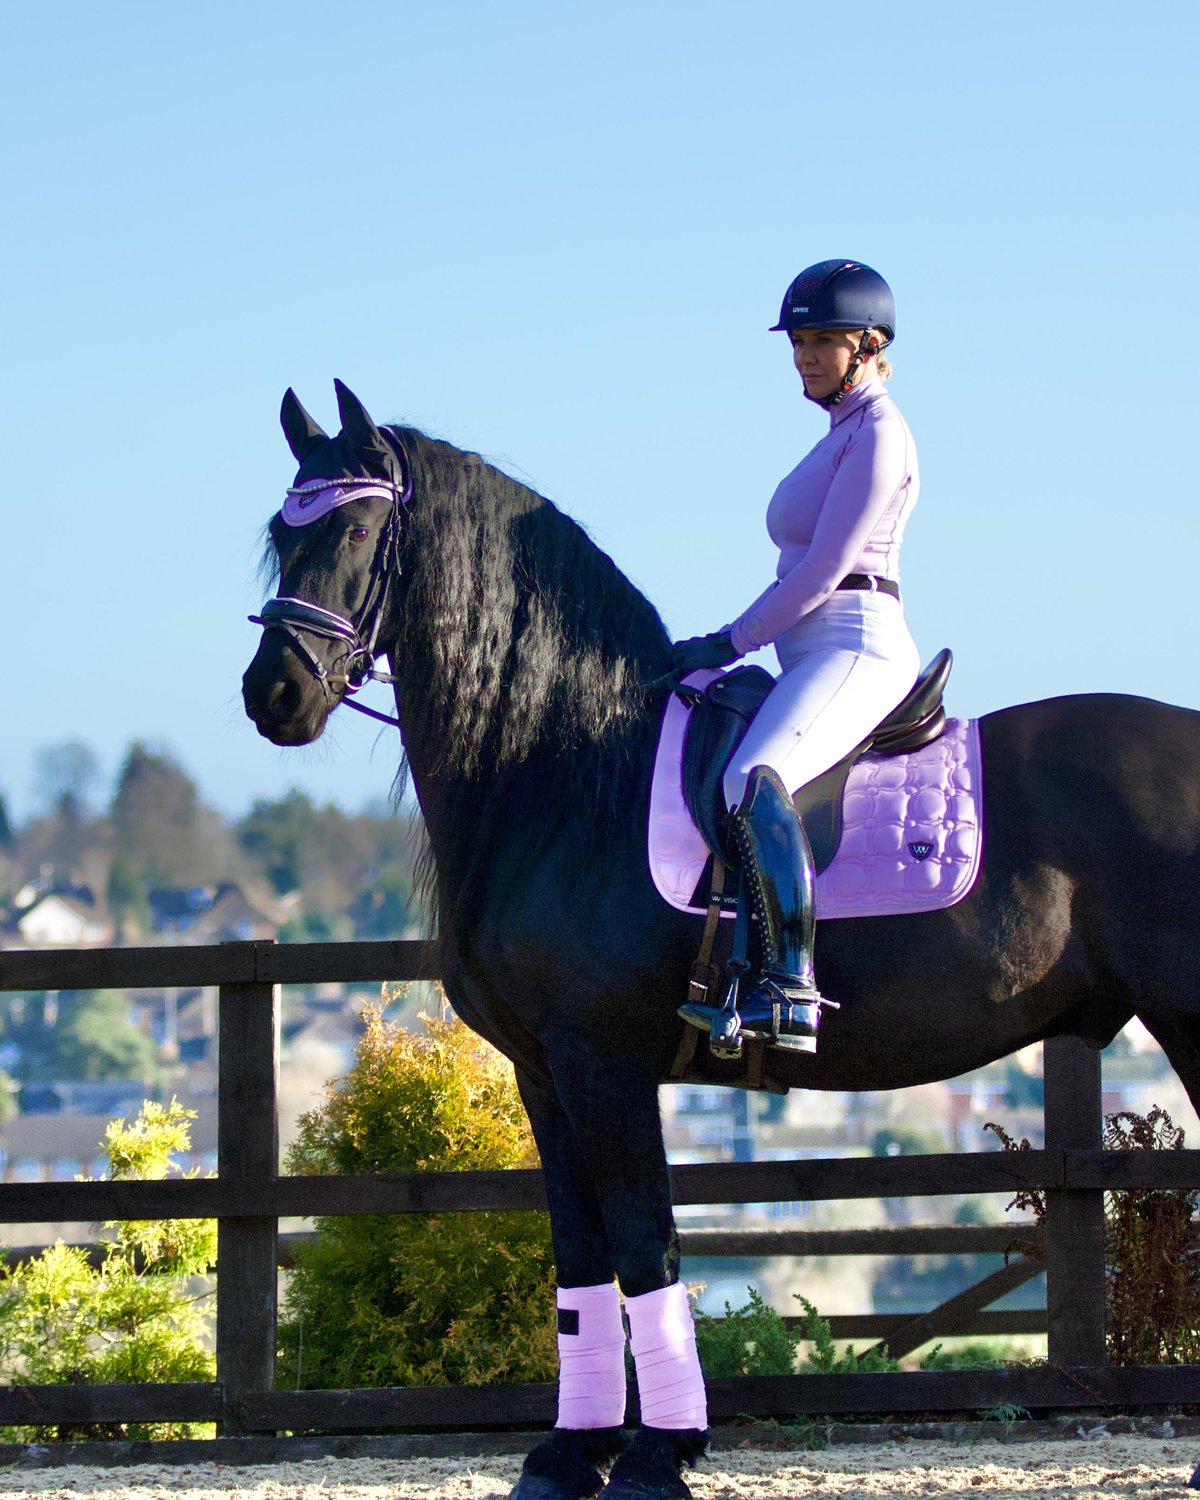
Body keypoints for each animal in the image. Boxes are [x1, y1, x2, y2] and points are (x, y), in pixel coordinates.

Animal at [242, 381, 1200, 1500]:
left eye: (355, 528)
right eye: (281, 533)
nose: (273, 695)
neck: (567, 769)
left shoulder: (605, 1064)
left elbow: (647, 1248)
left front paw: (660, 1455)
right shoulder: (544, 1072)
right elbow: (581, 1260)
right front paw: (569, 1455)